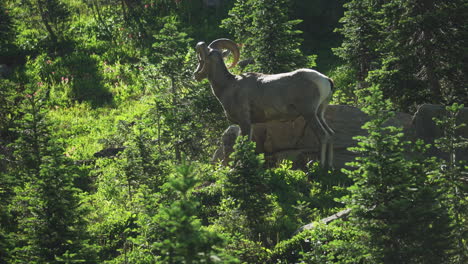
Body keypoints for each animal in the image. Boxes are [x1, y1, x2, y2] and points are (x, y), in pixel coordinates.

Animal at [195, 38, 336, 167]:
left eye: (202, 59)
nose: (196, 75)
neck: (228, 85)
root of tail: (325, 80)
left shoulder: (244, 122)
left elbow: (244, 144)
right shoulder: (249, 124)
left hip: (309, 114)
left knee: (323, 135)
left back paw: (321, 165)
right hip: (319, 113)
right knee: (330, 134)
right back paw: (330, 166)